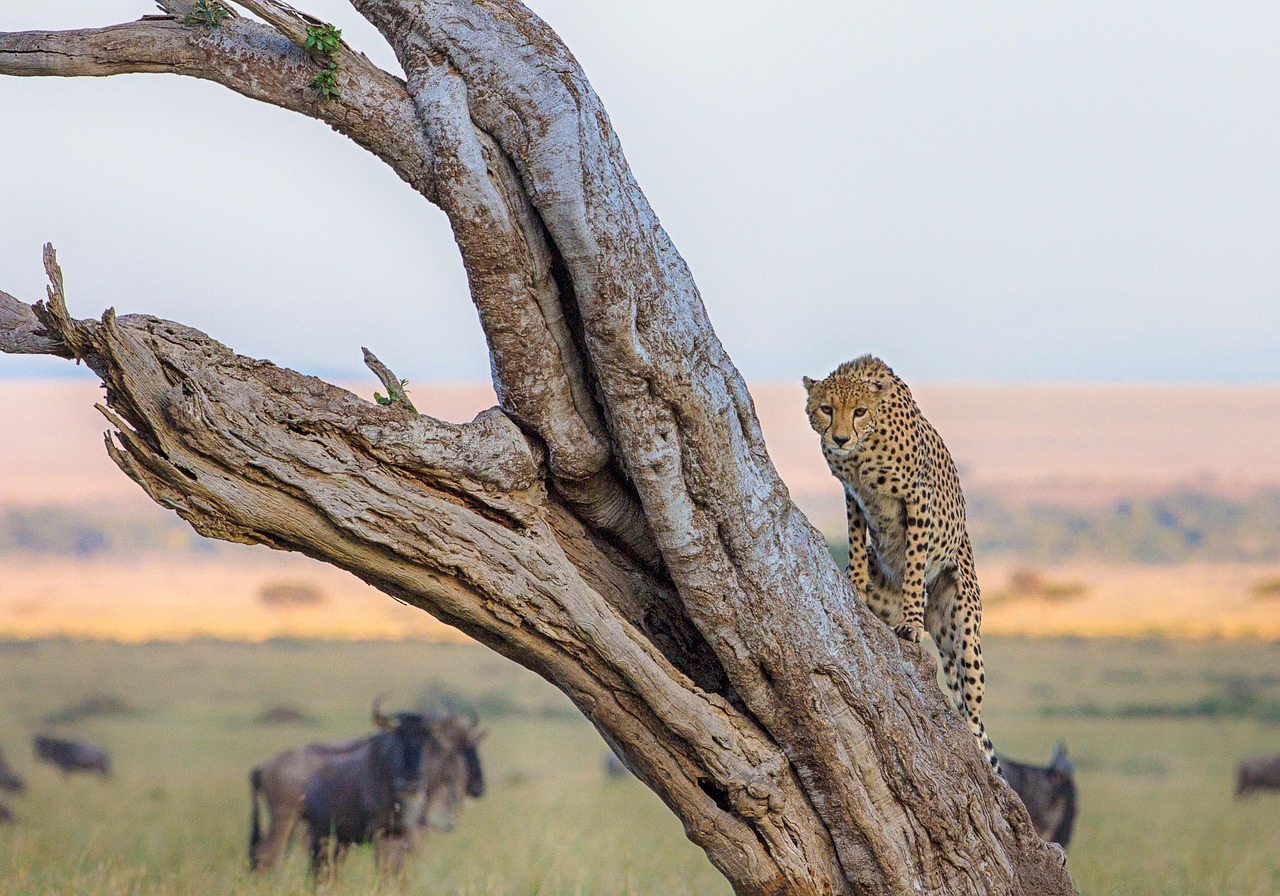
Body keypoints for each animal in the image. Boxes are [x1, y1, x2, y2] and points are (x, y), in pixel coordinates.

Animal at [804, 354, 999, 772]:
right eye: (826, 409)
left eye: (859, 411)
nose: (839, 439)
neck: (862, 450)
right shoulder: (853, 495)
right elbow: (856, 545)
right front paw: (855, 583)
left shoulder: (917, 498)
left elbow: (913, 563)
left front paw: (910, 621)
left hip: (965, 632)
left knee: (973, 713)